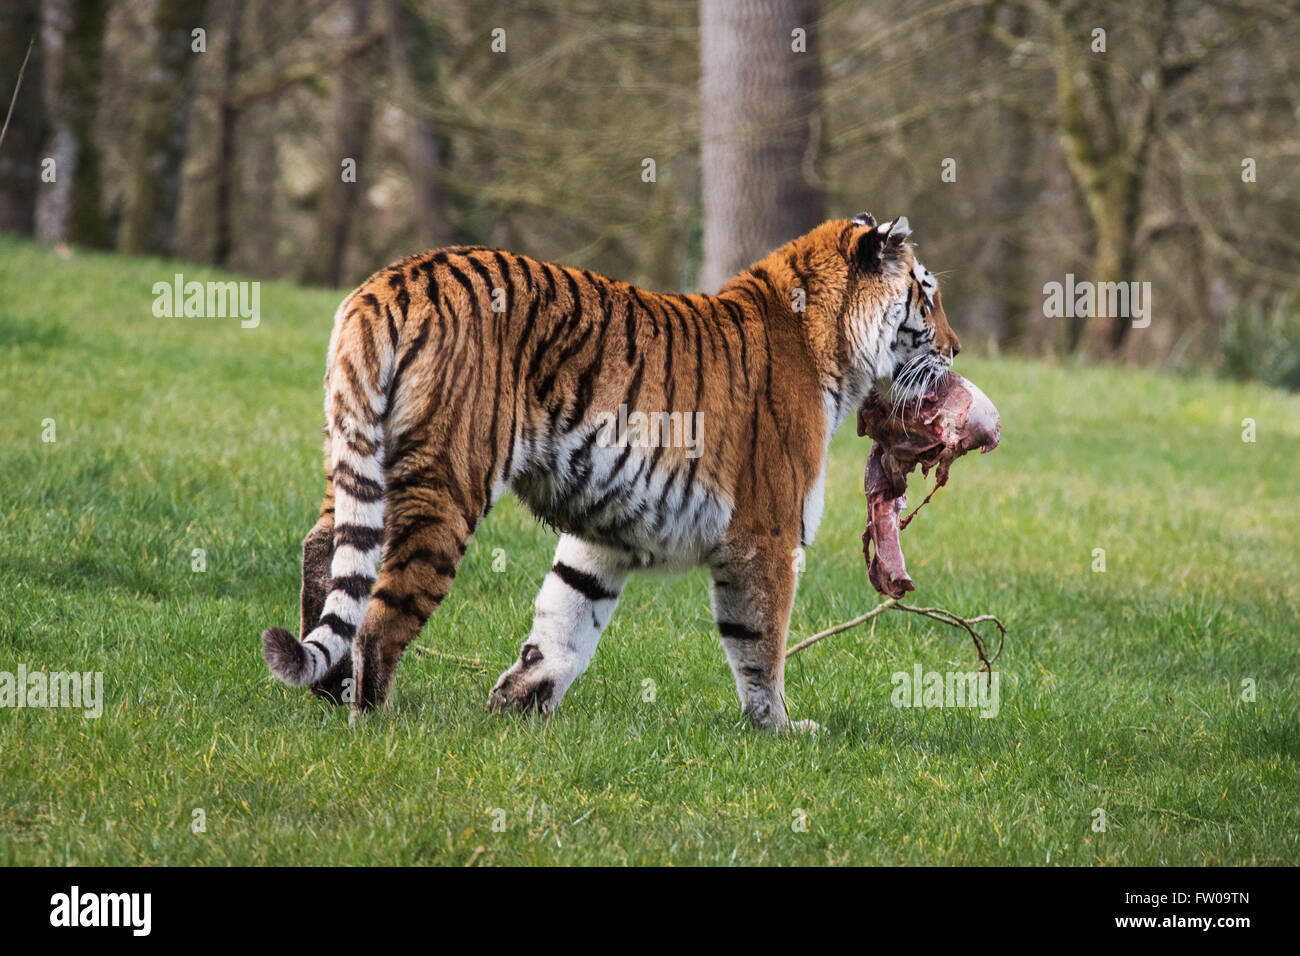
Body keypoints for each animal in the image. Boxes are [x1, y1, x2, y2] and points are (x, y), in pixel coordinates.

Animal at [258, 210, 961, 733]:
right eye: (926, 295)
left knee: (325, 549)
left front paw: (518, 702)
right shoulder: (766, 534)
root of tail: (394, 279)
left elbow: (567, 618)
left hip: (357, 460)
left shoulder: (606, 533)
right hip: (447, 483)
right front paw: (780, 728)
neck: (828, 339)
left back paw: (328, 690)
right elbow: (760, 644)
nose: (957, 350)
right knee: (380, 612)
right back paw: (372, 718)